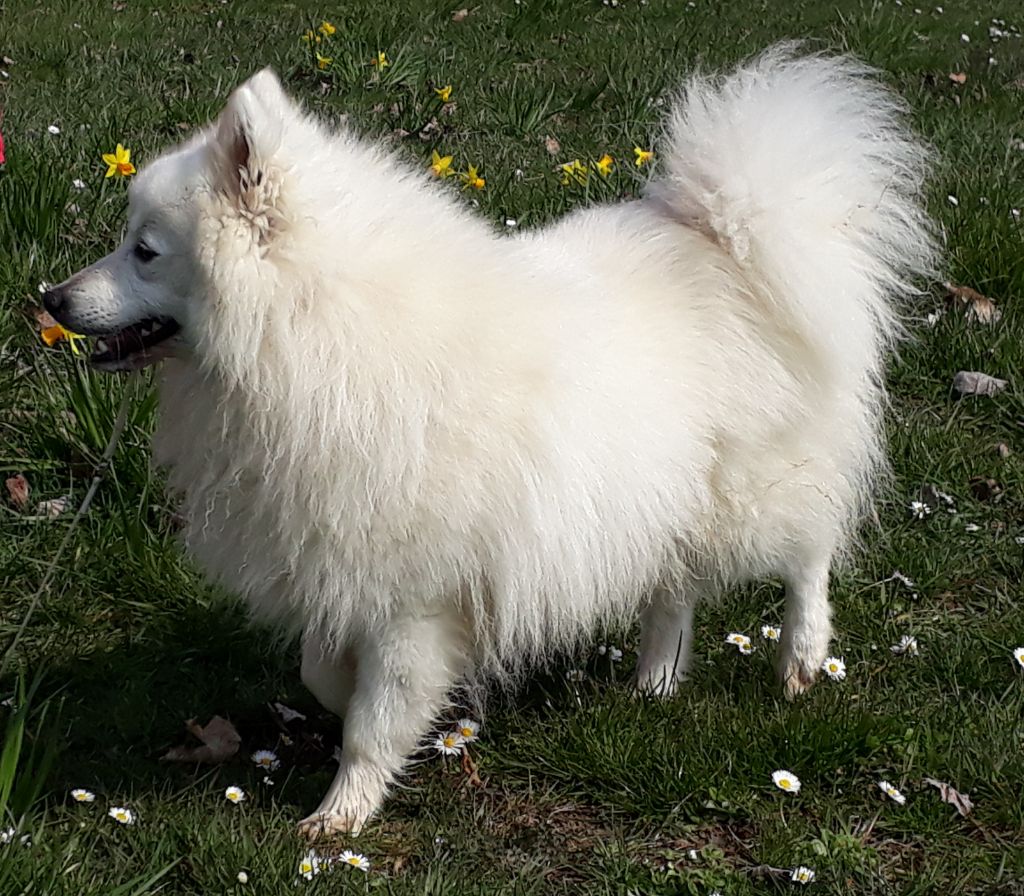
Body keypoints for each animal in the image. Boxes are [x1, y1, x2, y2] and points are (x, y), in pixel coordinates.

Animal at [43, 46, 936, 837]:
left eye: (144, 252)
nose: (52, 298)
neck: (322, 331)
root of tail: (729, 236)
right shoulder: (344, 556)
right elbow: (323, 673)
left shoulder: (413, 597)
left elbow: (373, 719)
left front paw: (341, 816)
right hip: (658, 495)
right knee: (674, 590)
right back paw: (655, 683)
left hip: (750, 489)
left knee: (808, 551)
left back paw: (800, 658)